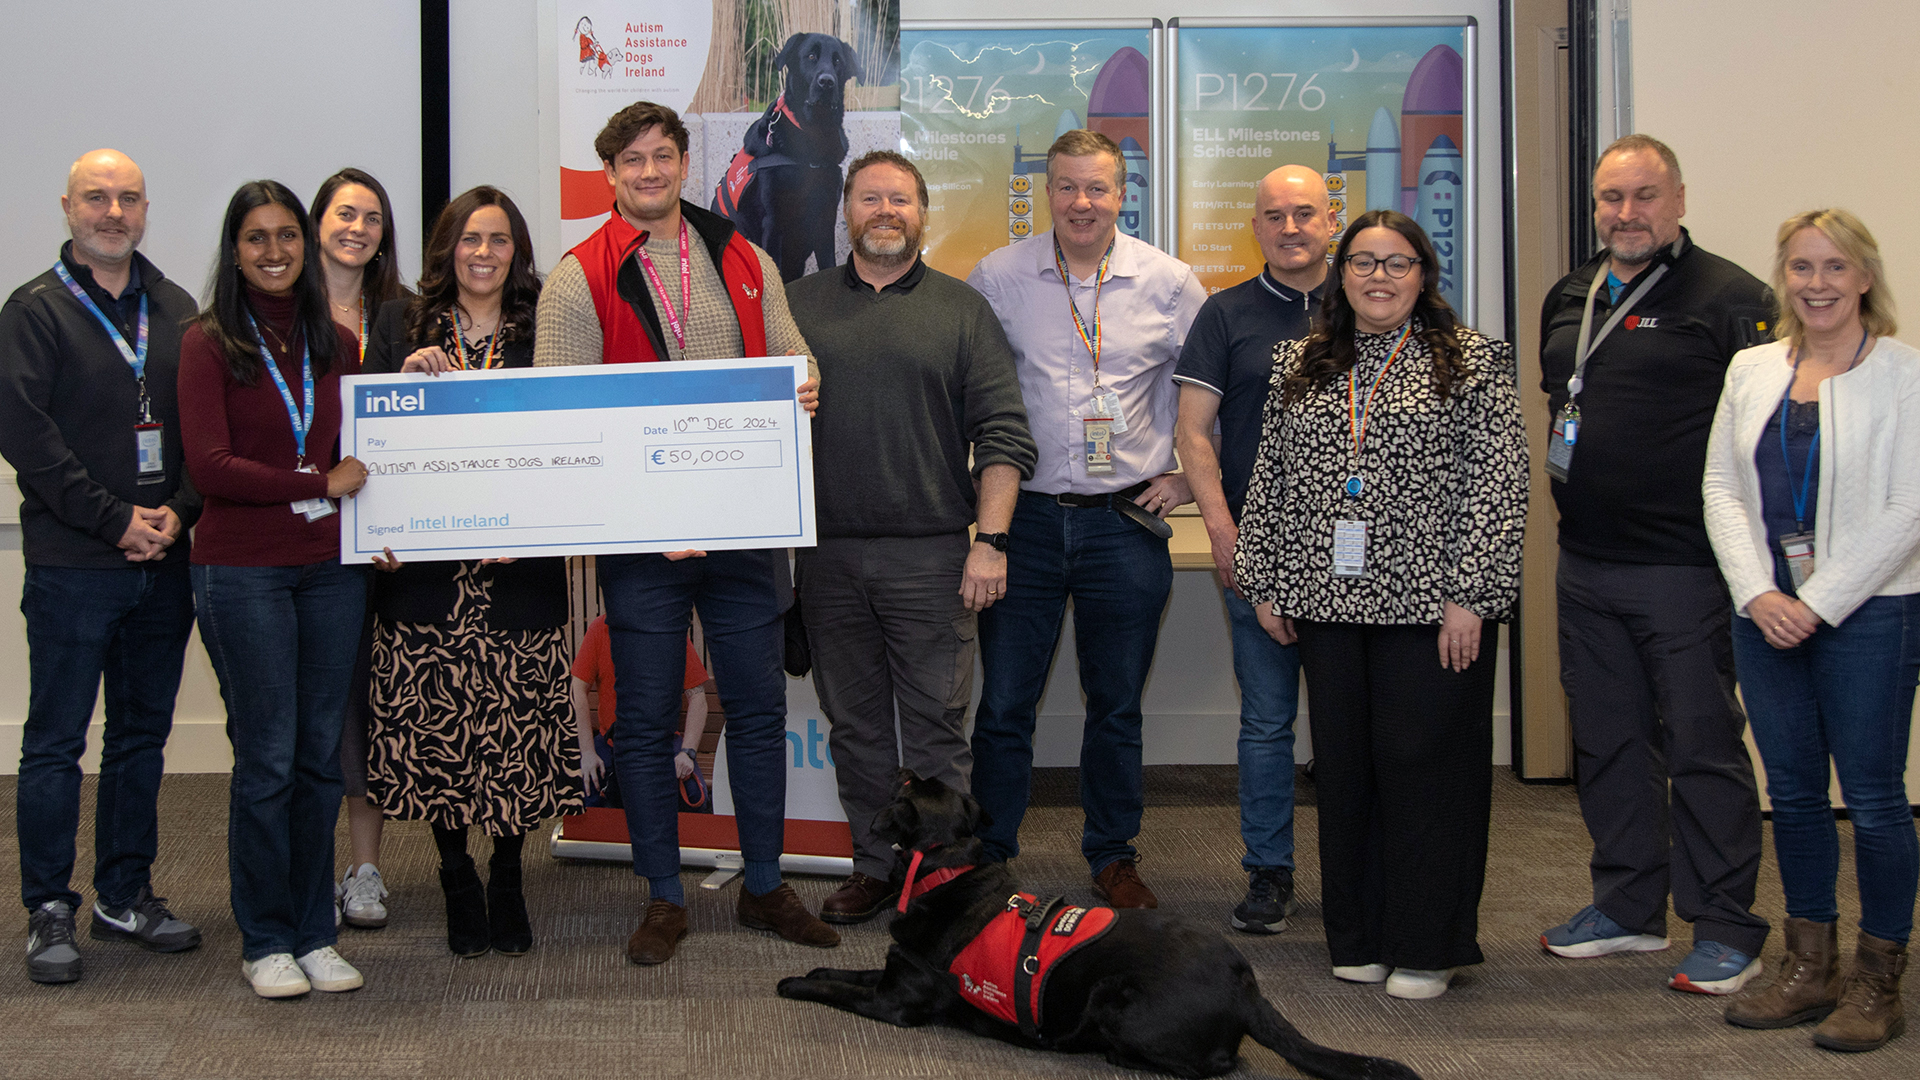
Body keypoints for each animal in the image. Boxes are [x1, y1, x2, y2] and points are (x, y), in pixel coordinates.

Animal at [771, 768, 1420, 1068]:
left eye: (910, 786)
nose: (905, 765)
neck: (945, 871)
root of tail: (1247, 985)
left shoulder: (895, 1003)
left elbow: (837, 990)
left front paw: (794, 982)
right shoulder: (891, 973)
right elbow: (849, 974)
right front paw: (813, 972)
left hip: (1114, 998)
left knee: (1217, 1062)